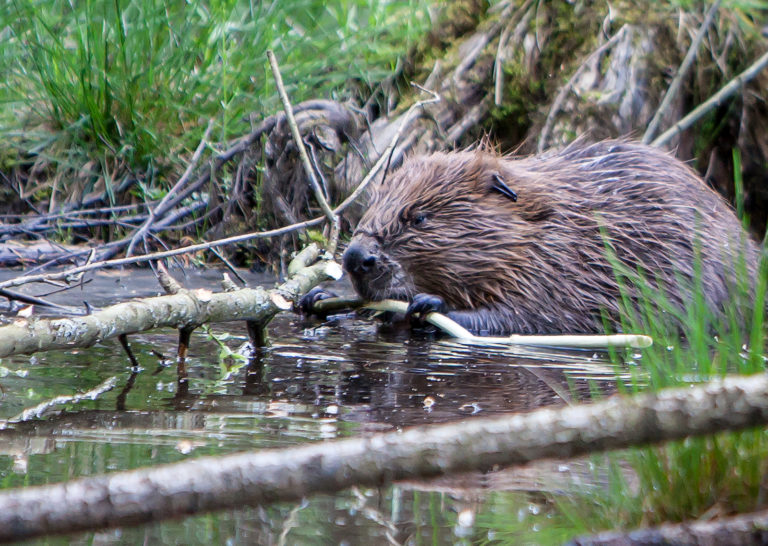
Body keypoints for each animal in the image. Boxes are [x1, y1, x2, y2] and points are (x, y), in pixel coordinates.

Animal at [314, 140, 760, 334]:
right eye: (373, 204)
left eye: (419, 217)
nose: (355, 258)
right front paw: (321, 295)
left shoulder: (562, 270)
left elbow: (530, 318)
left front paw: (426, 306)